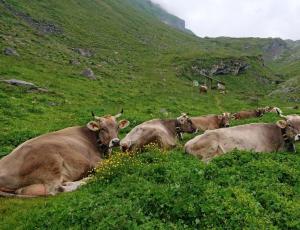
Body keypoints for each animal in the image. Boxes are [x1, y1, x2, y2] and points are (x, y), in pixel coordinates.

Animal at [0, 110, 129, 197]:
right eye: (102, 128)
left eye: (117, 127)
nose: (116, 141)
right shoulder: (96, 162)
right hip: (52, 162)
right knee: (56, 189)